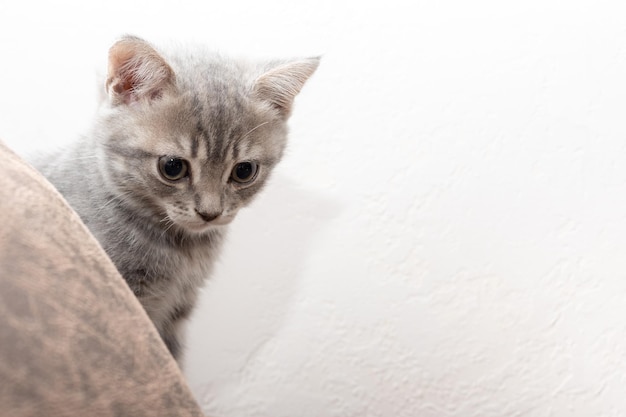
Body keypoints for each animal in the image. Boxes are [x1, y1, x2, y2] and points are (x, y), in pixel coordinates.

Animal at [30, 35, 316, 360]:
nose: (210, 212)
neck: (182, 250)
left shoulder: (177, 311)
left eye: (244, 171)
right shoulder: (120, 305)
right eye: (172, 167)